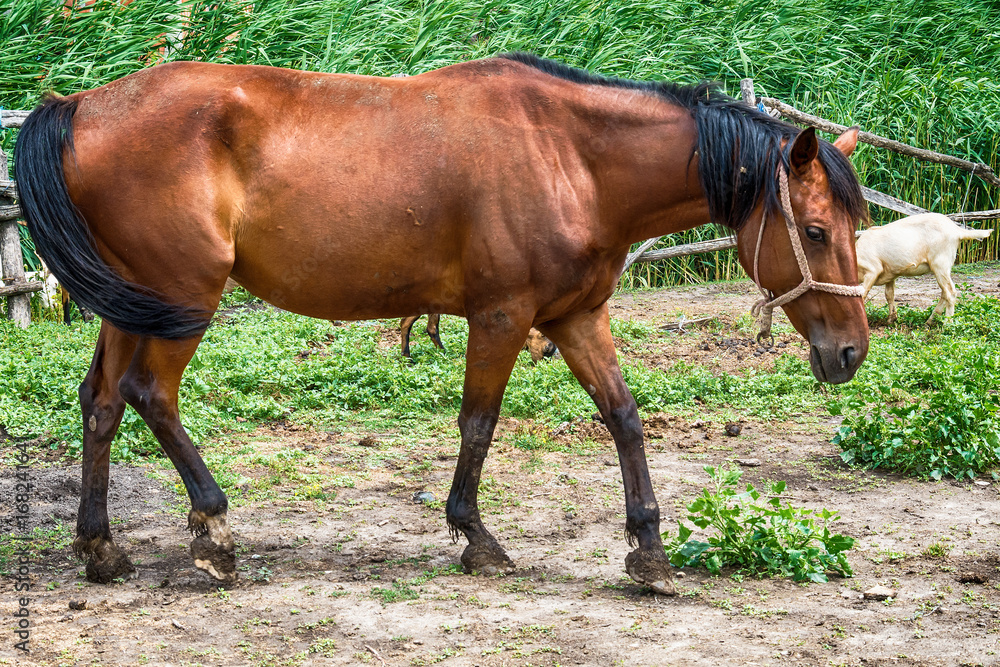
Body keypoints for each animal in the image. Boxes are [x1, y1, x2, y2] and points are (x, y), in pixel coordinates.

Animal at [15, 53, 869, 594]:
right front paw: (476, 538)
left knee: (102, 401)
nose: (852, 352)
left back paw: (101, 547)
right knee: (149, 394)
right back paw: (214, 532)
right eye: (816, 230)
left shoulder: (575, 316)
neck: (571, 157)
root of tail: (79, 106)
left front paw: (649, 551)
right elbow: (479, 423)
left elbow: (624, 417)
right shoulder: (501, 315)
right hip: (181, 300)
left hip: (133, 302)